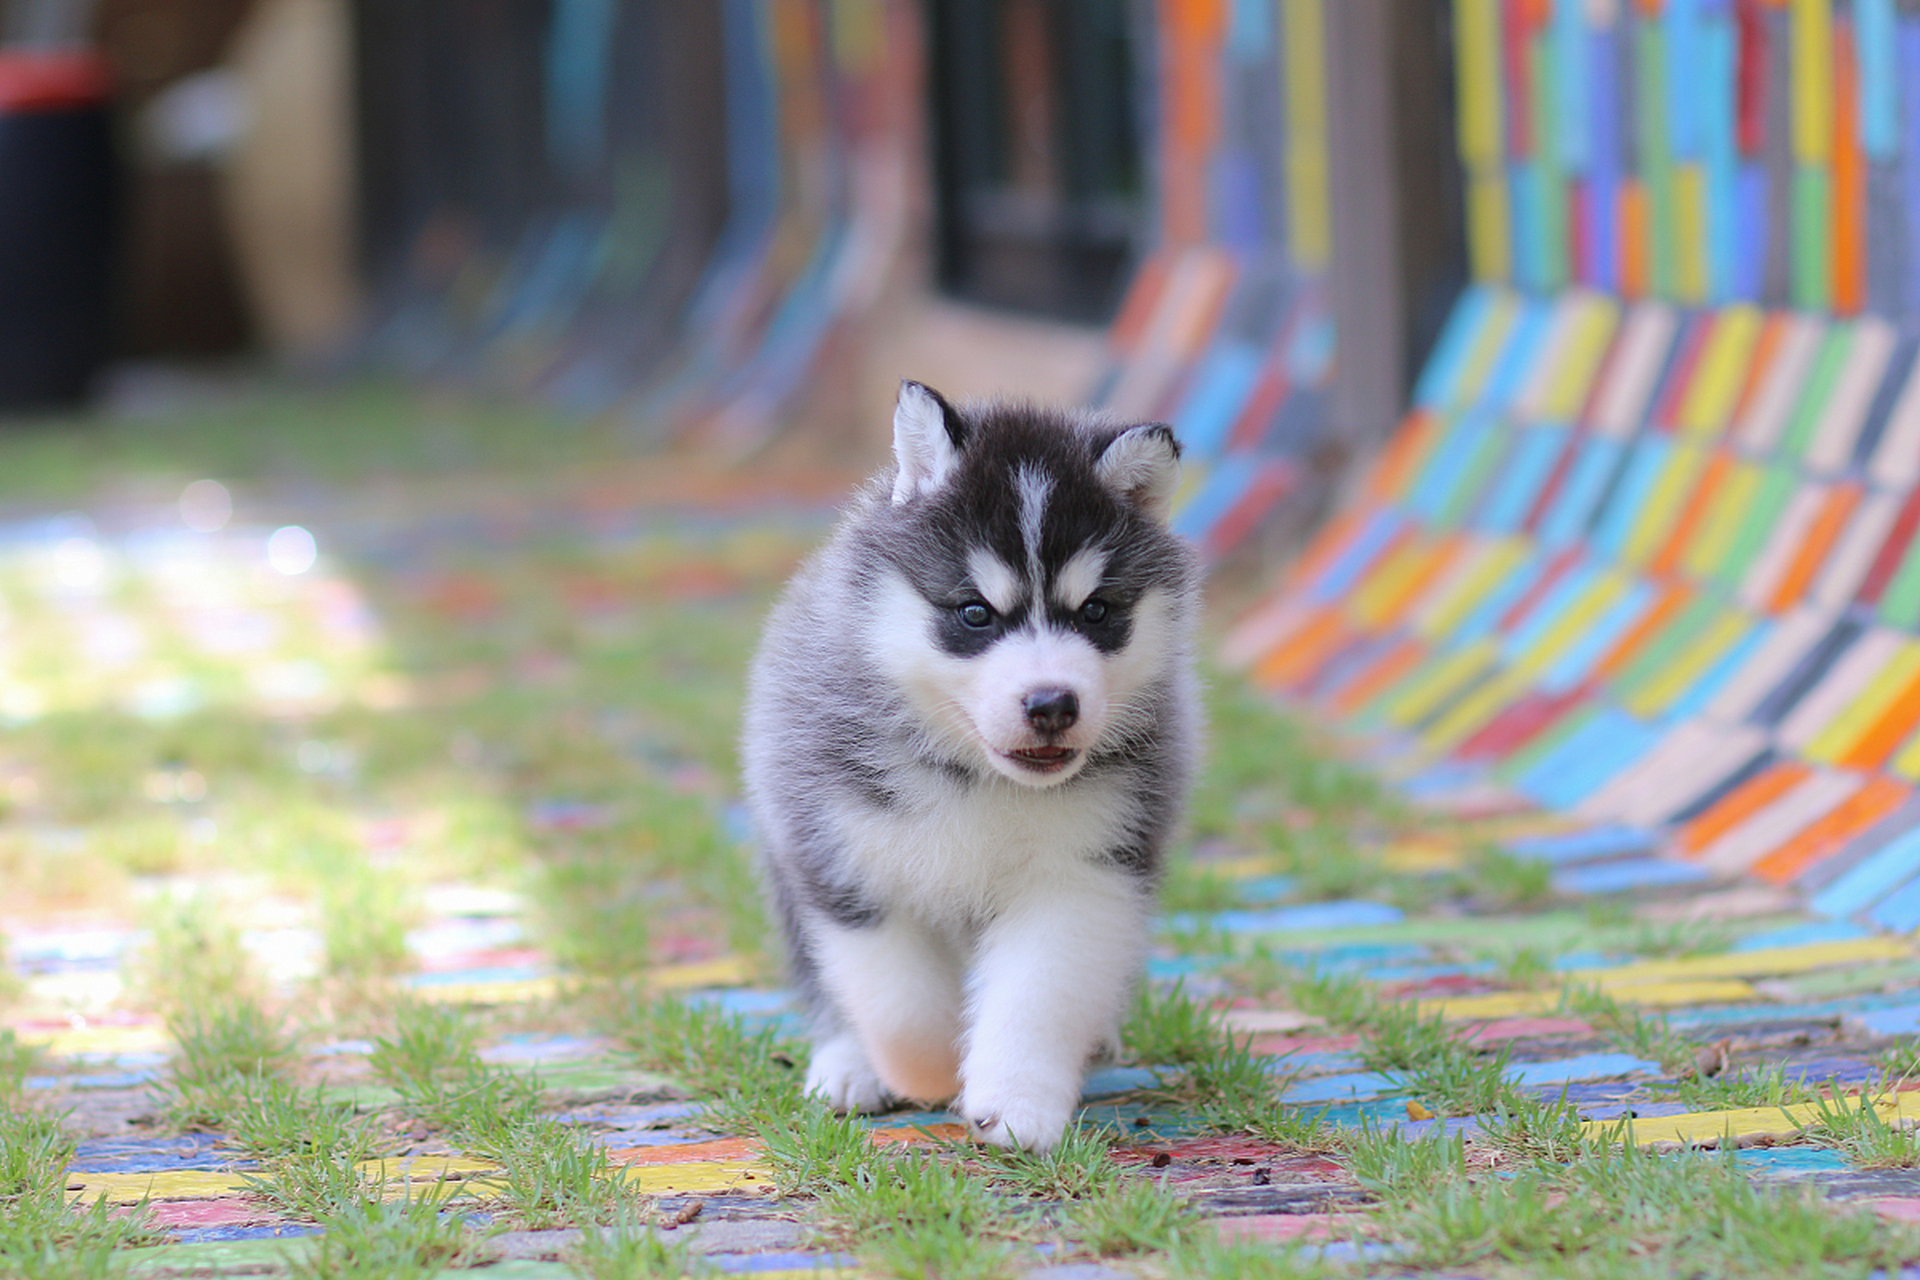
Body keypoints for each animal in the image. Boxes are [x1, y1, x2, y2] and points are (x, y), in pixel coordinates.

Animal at [741, 378, 1190, 1151]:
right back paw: (848, 1065)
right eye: (976, 613)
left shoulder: (1085, 872)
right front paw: (923, 1069)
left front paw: (1016, 1105)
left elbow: (1038, 994)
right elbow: (899, 999)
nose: (1051, 704)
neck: (980, 777)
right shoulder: (841, 854)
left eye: (1096, 612)